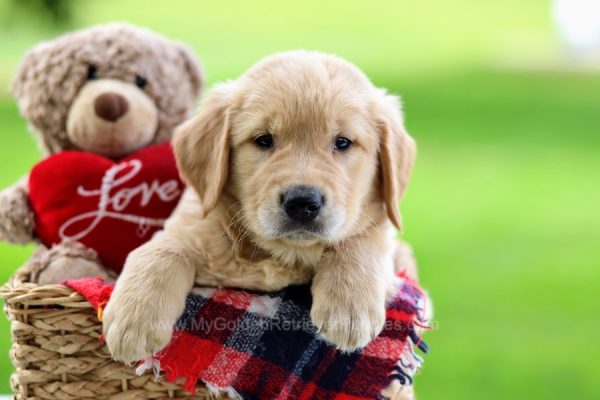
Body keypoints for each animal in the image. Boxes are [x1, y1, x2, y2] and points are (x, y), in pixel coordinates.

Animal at [103, 50, 414, 362]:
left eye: (343, 142)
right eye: (263, 140)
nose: (302, 202)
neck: (281, 254)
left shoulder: (383, 235)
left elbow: (360, 240)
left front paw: (349, 308)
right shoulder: (189, 225)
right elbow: (161, 251)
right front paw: (134, 322)